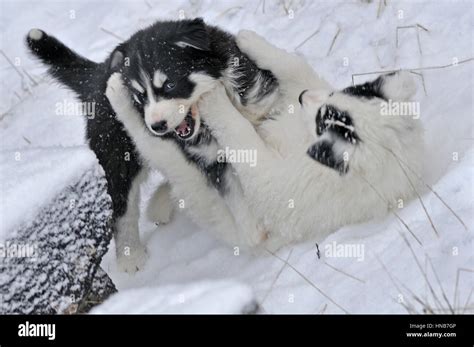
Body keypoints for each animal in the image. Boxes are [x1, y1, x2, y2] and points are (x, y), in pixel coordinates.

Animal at [26, 19, 278, 274]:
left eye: (170, 84)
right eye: (139, 97)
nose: (157, 126)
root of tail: (97, 75)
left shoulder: (259, 104)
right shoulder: (209, 157)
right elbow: (233, 191)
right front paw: (254, 229)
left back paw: (161, 204)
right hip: (119, 159)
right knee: (122, 211)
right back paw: (131, 257)